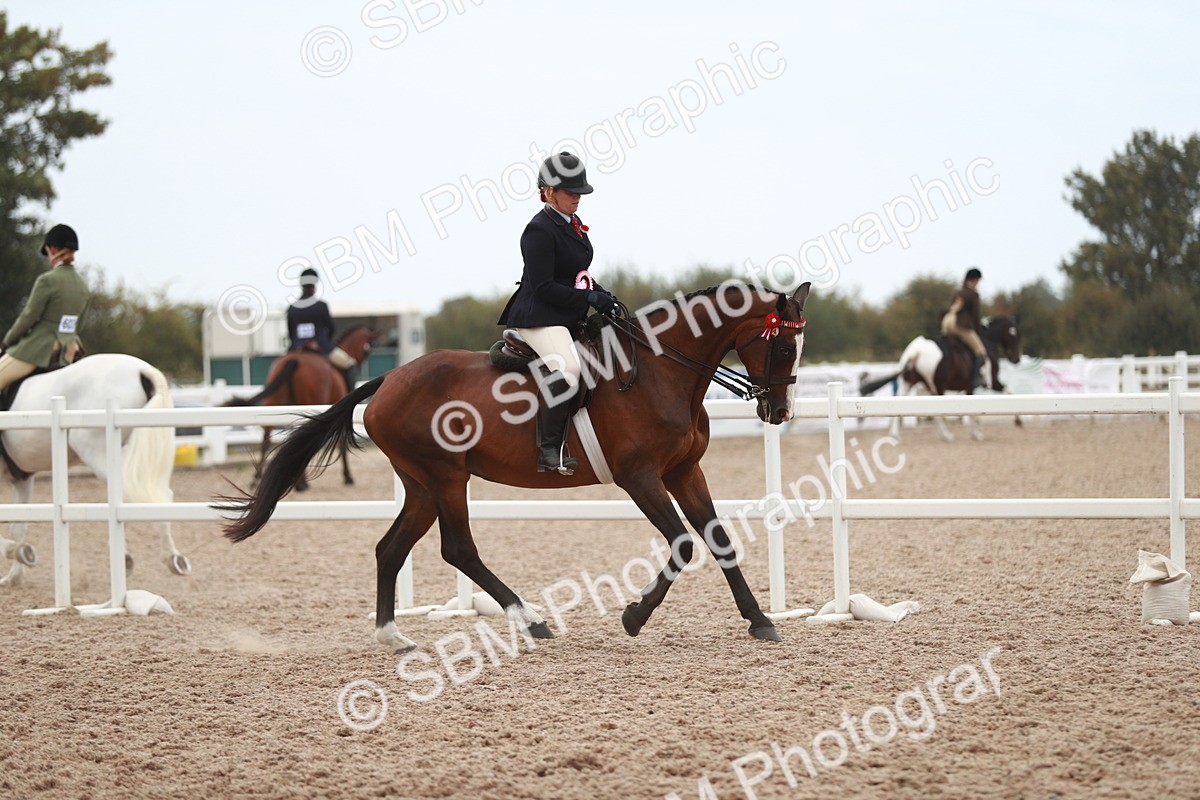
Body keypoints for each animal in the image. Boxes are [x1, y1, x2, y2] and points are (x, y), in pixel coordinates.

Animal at [0, 353, 190, 586]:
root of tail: (142, 370)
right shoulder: (22, 479)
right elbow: (17, 526)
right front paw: (15, 573)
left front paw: (13, 552)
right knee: (157, 495)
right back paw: (170, 557)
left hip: (94, 450)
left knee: (128, 494)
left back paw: (130, 557)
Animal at [225, 326, 379, 491]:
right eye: (368, 348)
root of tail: (294, 359)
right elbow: (342, 443)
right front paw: (348, 476)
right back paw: (301, 483)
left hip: (272, 403)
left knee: (266, 439)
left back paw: (258, 479)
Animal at [859, 316, 1023, 441]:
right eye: (1014, 334)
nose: (1016, 359)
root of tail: (917, 350)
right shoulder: (987, 383)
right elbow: (1009, 392)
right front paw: (978, 433)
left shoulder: (970, 387)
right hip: (937, 386)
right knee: (937, 412)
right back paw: (946, 435)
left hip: (910, 381)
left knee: (900, 400)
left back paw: (895, 435)